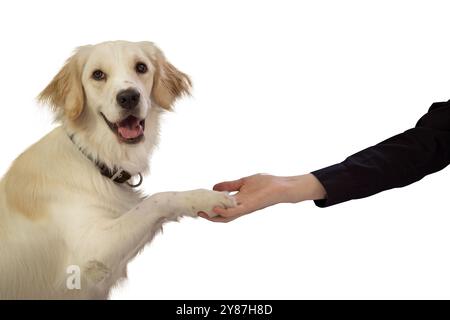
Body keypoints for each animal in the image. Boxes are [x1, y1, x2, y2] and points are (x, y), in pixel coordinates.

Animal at [0, 41, 237, 298]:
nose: (129, 97)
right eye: (98, 74)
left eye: (141, 67)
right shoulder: (91, 251)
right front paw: (206, 197)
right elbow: (156, 199)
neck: (95, 158)